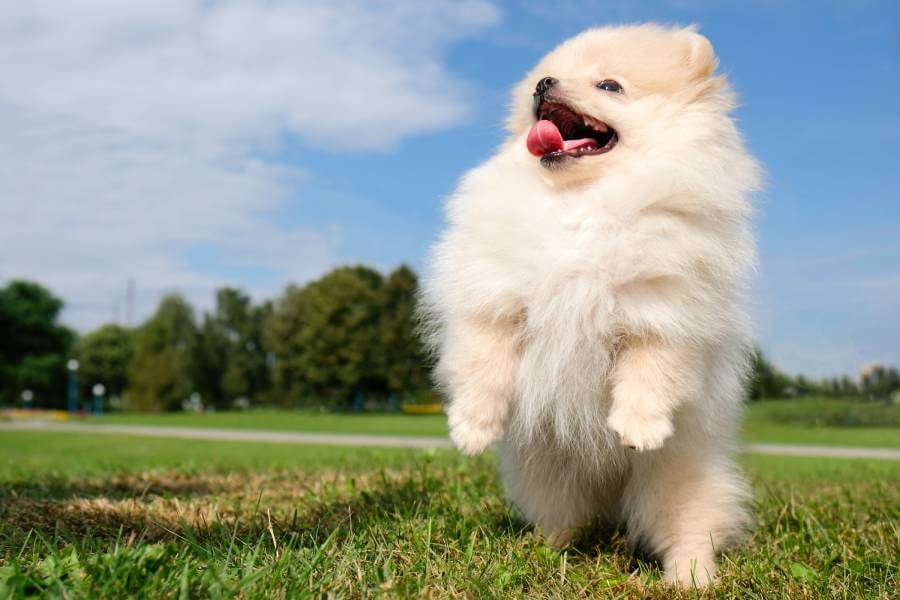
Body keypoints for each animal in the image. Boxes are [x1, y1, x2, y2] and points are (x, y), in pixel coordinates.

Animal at [420, 25, 760, 588]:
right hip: (547, 475)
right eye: (544, 78)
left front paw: (639, 427)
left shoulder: (667, 308)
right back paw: (540, 552)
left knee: (691, 527)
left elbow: (653, 368)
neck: (581, 205)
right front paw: (471, 428)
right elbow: (483, 361)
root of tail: (611, 492)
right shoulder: (495, 296)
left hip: (679, 481)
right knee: (563, 519)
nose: (544, 83)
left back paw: (690, 577)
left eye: (609, 85)